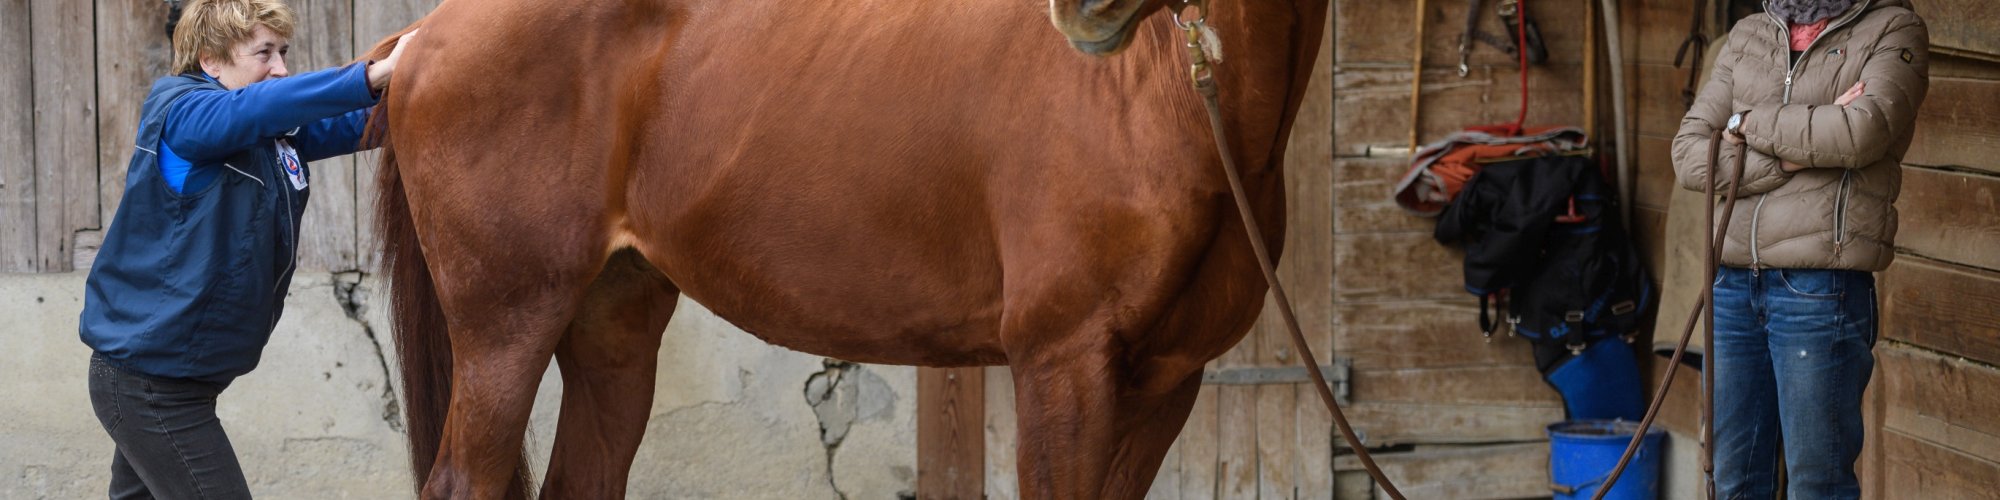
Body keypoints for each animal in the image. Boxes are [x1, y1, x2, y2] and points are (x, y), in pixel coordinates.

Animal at [360, 0, 1330, 497]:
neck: (1155, 94)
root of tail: (426, 34)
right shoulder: (1064, 366)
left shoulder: (1166, 382)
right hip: (506, 327)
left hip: (612, 324)